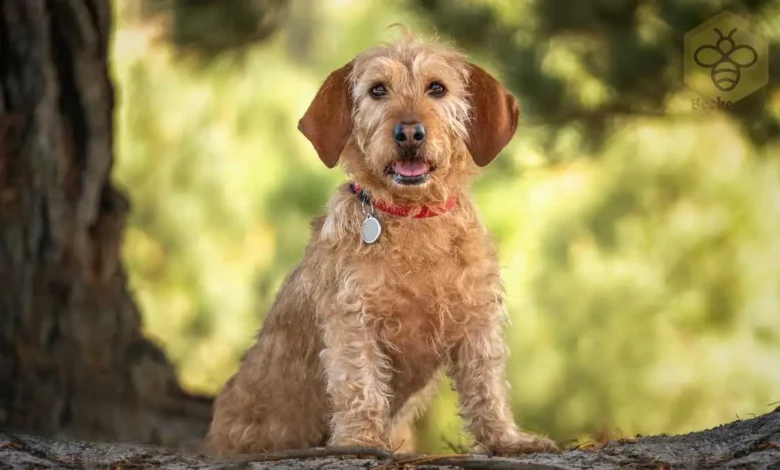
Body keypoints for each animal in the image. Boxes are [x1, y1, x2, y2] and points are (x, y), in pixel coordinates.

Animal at [206, 31, 560, 458]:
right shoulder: (353, 320)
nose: (409, 133)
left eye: (437, 88)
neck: (413, 219)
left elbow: (487, 385)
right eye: (378, 89)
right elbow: (360, 384)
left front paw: (507, 439)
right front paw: (360, 441)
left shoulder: (477, 320)